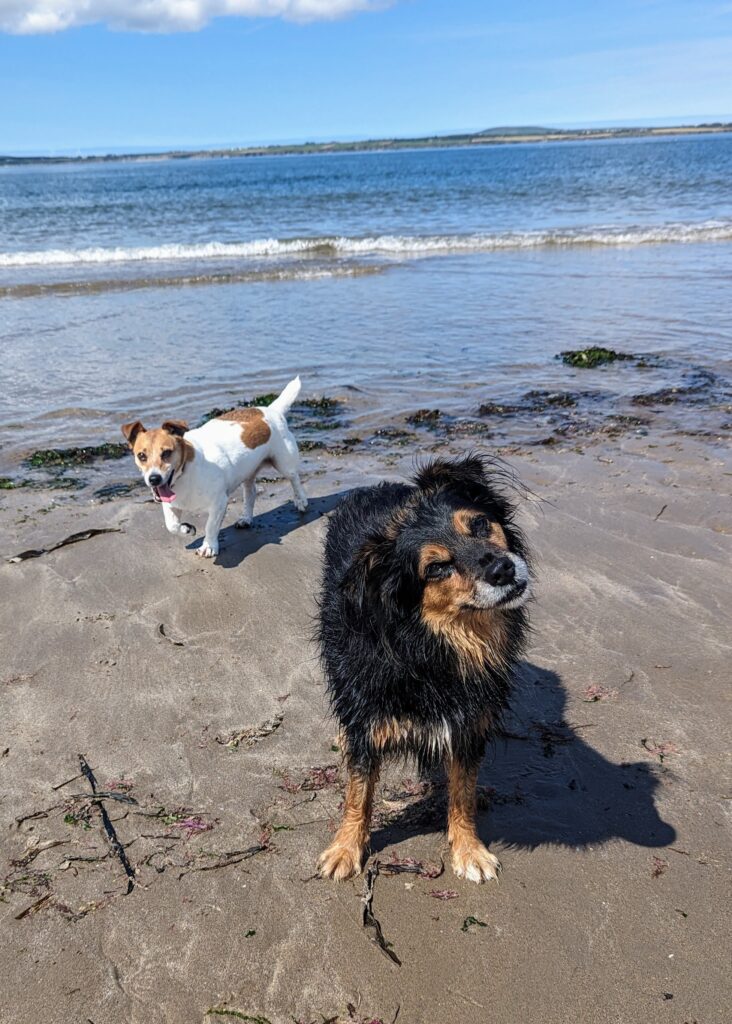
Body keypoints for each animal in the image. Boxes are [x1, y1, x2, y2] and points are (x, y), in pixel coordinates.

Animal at [315, 456, 532, 880]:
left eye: (479, 525)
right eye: (436, 568)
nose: (502, 570)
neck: (430, 643)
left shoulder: (467, 722)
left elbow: (462, 793)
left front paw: (469, 849)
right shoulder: (367, 718)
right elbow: (358, 792)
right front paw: (345, 848)